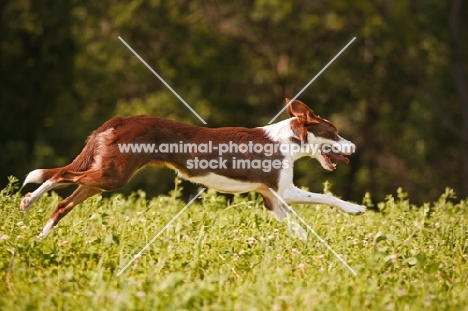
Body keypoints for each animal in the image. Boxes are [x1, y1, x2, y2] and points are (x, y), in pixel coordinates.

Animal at [21, 100, 366, 236]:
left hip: (105, 176)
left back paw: (40, 235)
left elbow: (297, 228)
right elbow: (327, 198)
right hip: (112, 175)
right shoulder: (285, 190)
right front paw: (355, 208)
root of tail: (119, 119)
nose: (354, 147)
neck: (290, 140)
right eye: (334, 133)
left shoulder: (272, 198)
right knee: (59, 175)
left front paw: (307, 249)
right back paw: (27, 201)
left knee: (64, 201)